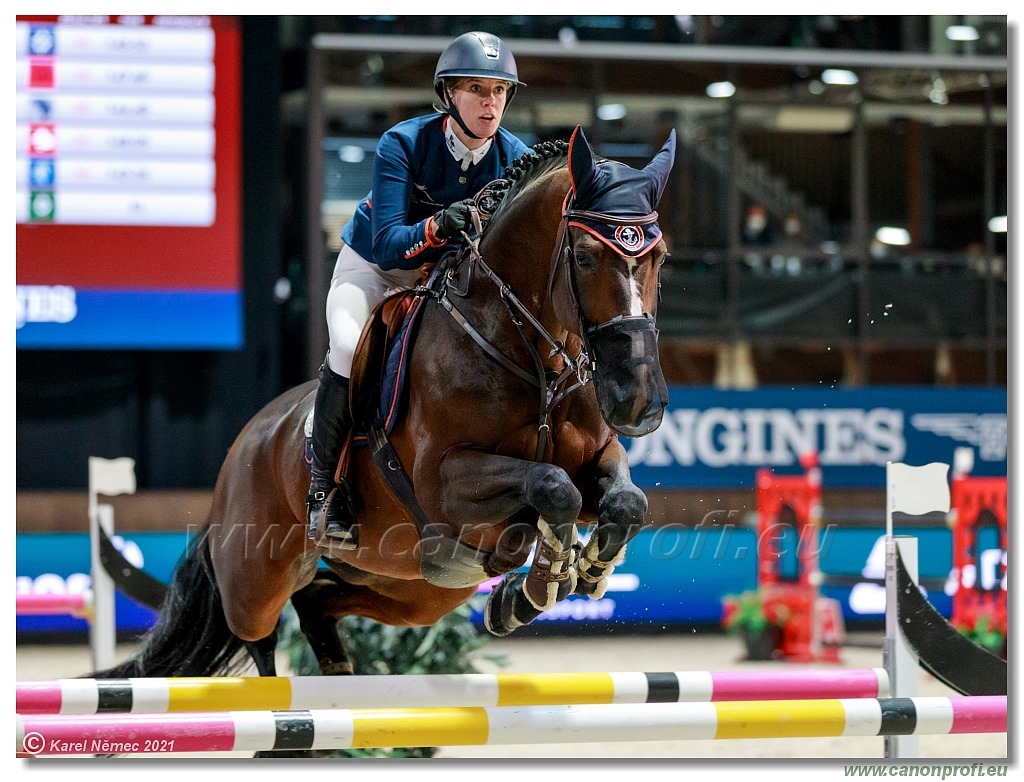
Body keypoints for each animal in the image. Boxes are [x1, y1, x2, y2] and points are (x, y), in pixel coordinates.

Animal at [92, 125, 675, 679]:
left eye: (659, 257)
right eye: (585, 257)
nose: (638, 402)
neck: (529, 355)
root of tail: (246, 443)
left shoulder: (595, 457)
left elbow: (625, 502)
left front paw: (575, 575)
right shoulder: (444, 483)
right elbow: (551, 487)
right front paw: (537, 585)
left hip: (415, 588)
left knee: (318, 599)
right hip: (256, 574)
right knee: (256, 632)